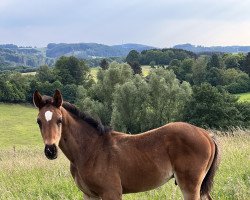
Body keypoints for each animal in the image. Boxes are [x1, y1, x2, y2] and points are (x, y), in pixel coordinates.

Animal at [32, 90, 219, 199]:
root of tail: (206, 134)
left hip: (190, 185)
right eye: (39, 122)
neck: (90, 150)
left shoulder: (112, 192)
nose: (50, 150)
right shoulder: (89, 195)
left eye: (59, 120)